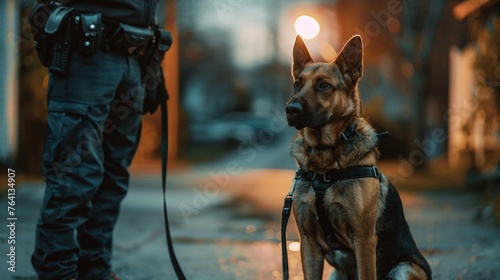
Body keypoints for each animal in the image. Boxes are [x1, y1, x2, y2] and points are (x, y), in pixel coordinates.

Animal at [288, 35, 432, 280]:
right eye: (298, 83)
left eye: (323, 85)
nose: (291, 109)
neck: (325, 161)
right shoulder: (308, 243)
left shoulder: (364, 240)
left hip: (403, 270)